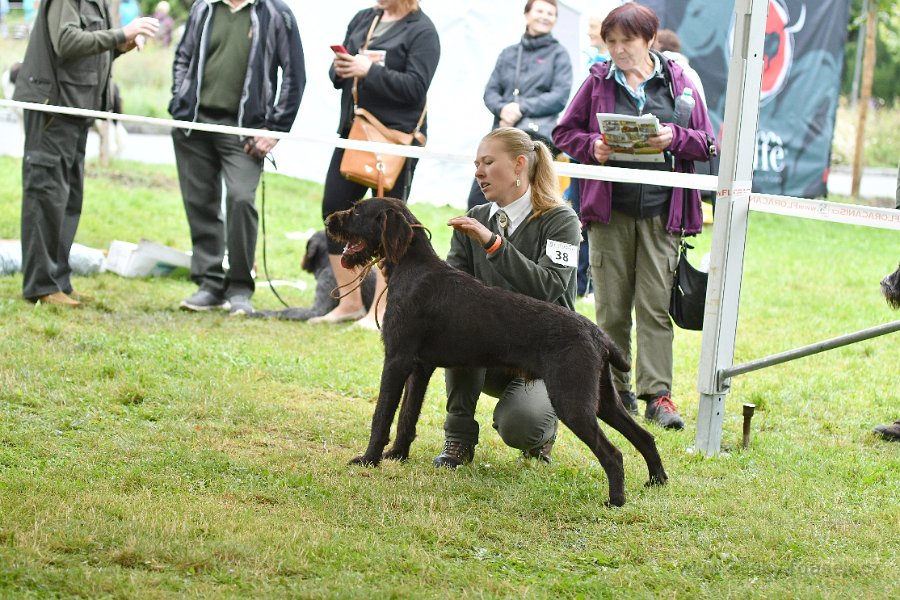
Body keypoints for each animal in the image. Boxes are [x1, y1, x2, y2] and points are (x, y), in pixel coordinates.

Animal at [326, 197, 668, 506]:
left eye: (356, 211)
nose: (329, 220)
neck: (412, 266)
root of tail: (597, 334)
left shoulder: (396, 361)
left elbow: (382, 416)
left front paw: (369, 459)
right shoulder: (419, 369)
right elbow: (407, 417)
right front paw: (397, 455)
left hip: (572, 402)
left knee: (613, 453)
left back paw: (616, 500)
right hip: (602, 399)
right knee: (644, 436)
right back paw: (657, 480)